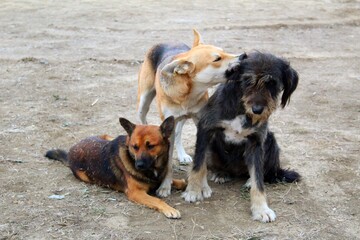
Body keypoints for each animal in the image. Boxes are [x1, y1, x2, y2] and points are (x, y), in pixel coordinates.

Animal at [44, 116, 186, 219]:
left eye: (150, 146)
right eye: (135, 147)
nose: (138, 165)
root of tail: (70, 152)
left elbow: (172, 181)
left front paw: (181, 182)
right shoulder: (136, 193)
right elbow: (157, 201)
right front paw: (170, 209)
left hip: (108, 136)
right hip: (85, 176)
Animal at [137, 28, 242, 197]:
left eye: (223, 51)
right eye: (217, 58)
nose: (243, 55)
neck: (188, 92)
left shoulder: (201, 122)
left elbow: (202, 160)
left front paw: (204, 187)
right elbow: (168, 162)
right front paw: (165, 187)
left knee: (179, 131)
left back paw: (182, 155)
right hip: (143, 102)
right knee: (143, 118)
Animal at [183, 52, 300, 223]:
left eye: (272, 83)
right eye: (247, 80)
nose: (257, 110)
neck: (241, 108)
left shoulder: (256, 142)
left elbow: (258, 180)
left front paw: (261, 209)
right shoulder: (205, 129)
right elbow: (198, 164)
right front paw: (193, 191)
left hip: (271, 141)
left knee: (262, 173)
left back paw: (249, 180)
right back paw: (221, 174)